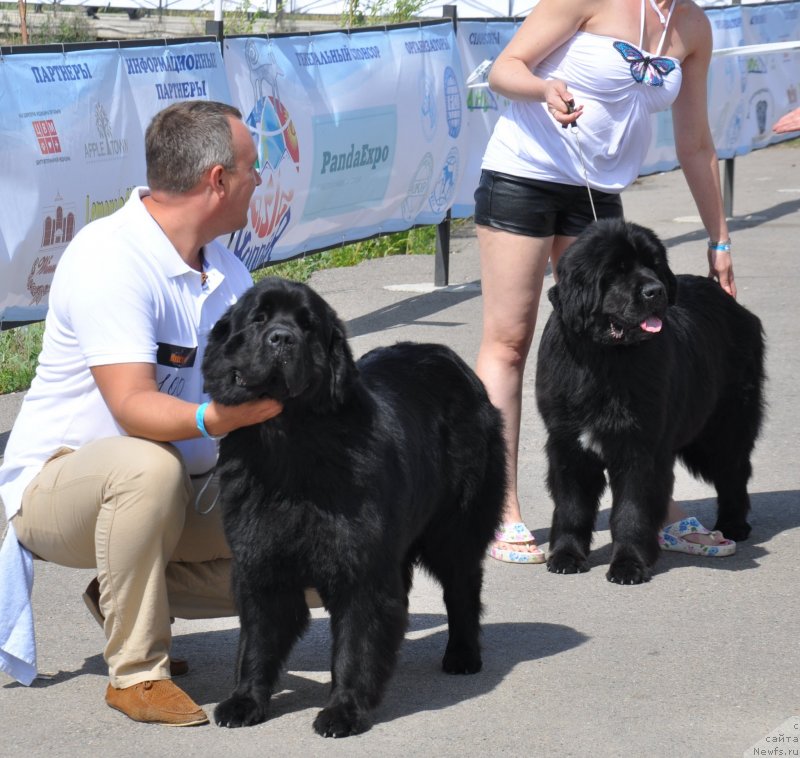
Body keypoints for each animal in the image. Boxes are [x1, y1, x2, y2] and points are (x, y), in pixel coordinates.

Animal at [200, 278, 504, 736]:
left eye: (307, 326)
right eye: (259, 319)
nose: (282, 339)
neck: (291, 445)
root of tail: (453, 361)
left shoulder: (360, 568)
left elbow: (354, 644)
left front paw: (344, 710)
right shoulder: (260, 563)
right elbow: (256, 640)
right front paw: (244, 701)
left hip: (453, 528)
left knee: (462, 586)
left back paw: (463, 655)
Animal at [536, 220, 764, 588]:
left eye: (654, 265)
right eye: (616, 271)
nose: (655, 291)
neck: (604, 359)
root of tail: (732, 303)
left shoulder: (639, 448)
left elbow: (631, 510)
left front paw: (629, 565)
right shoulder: (567, 445)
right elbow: (571, 505)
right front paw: (567, 556)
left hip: (723, 427)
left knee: (734, 470)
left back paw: (733, 524)